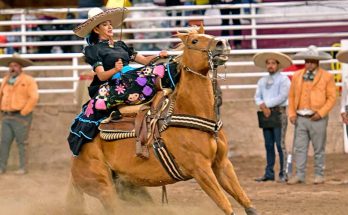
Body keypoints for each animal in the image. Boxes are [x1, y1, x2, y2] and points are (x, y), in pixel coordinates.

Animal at [68, 25, 258, 215]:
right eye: (194, 41)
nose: (222, 43)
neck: (189, 110)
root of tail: (76, 159)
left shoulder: (223, 165)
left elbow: (246, 202)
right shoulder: (201, 170)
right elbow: (226, 205)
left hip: (129, 188)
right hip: (104, 189)